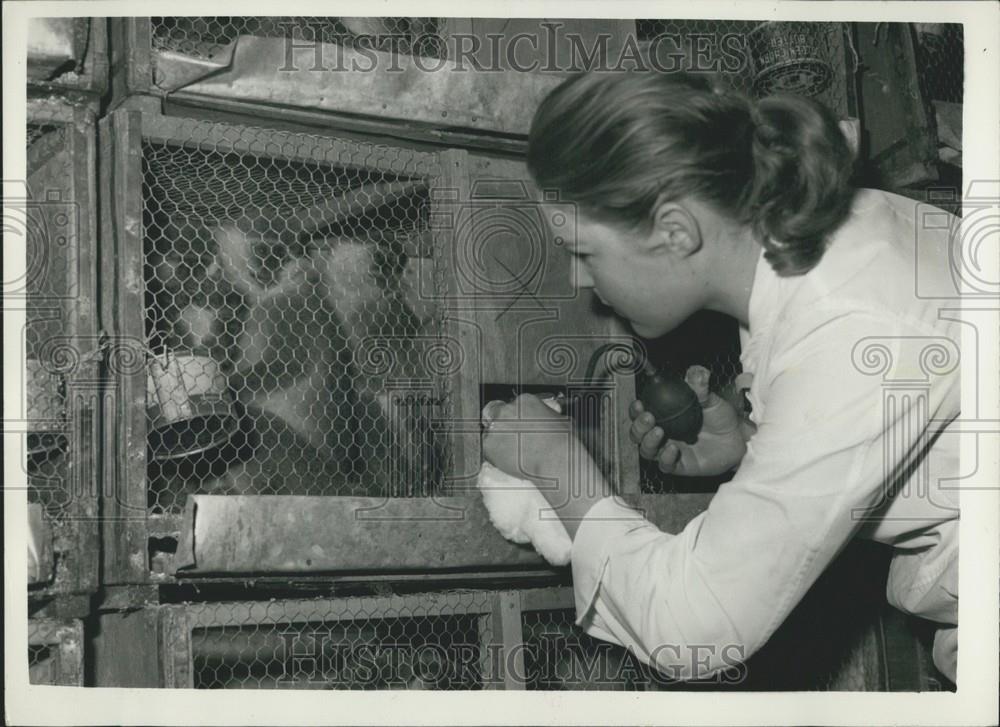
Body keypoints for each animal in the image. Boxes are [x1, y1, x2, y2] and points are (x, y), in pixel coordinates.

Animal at [139, 123, 448, 512]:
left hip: (304, 471)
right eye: (264, 252)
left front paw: (227, 384)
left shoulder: (285, 310)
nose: (270, 272)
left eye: (282, 255)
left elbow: (288, 365)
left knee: (262, 424)